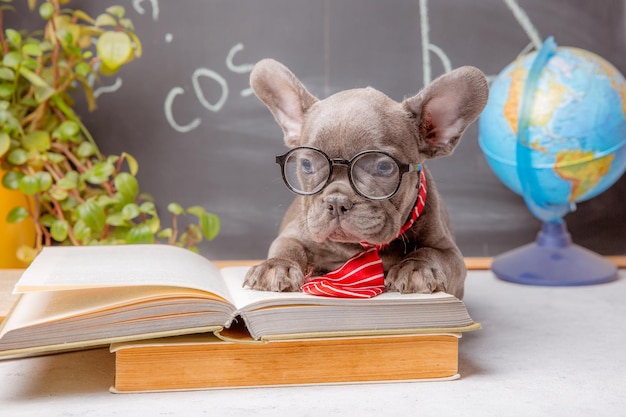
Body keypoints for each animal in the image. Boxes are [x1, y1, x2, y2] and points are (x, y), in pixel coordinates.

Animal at [244, 58, 488, 300]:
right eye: (307, 165)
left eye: (384, 167)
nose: (336, 202)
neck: (358, 247)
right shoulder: (295, 232)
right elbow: (287, 246)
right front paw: (276, 266)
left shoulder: (451, 254)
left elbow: (431, 253)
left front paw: (416, 268)